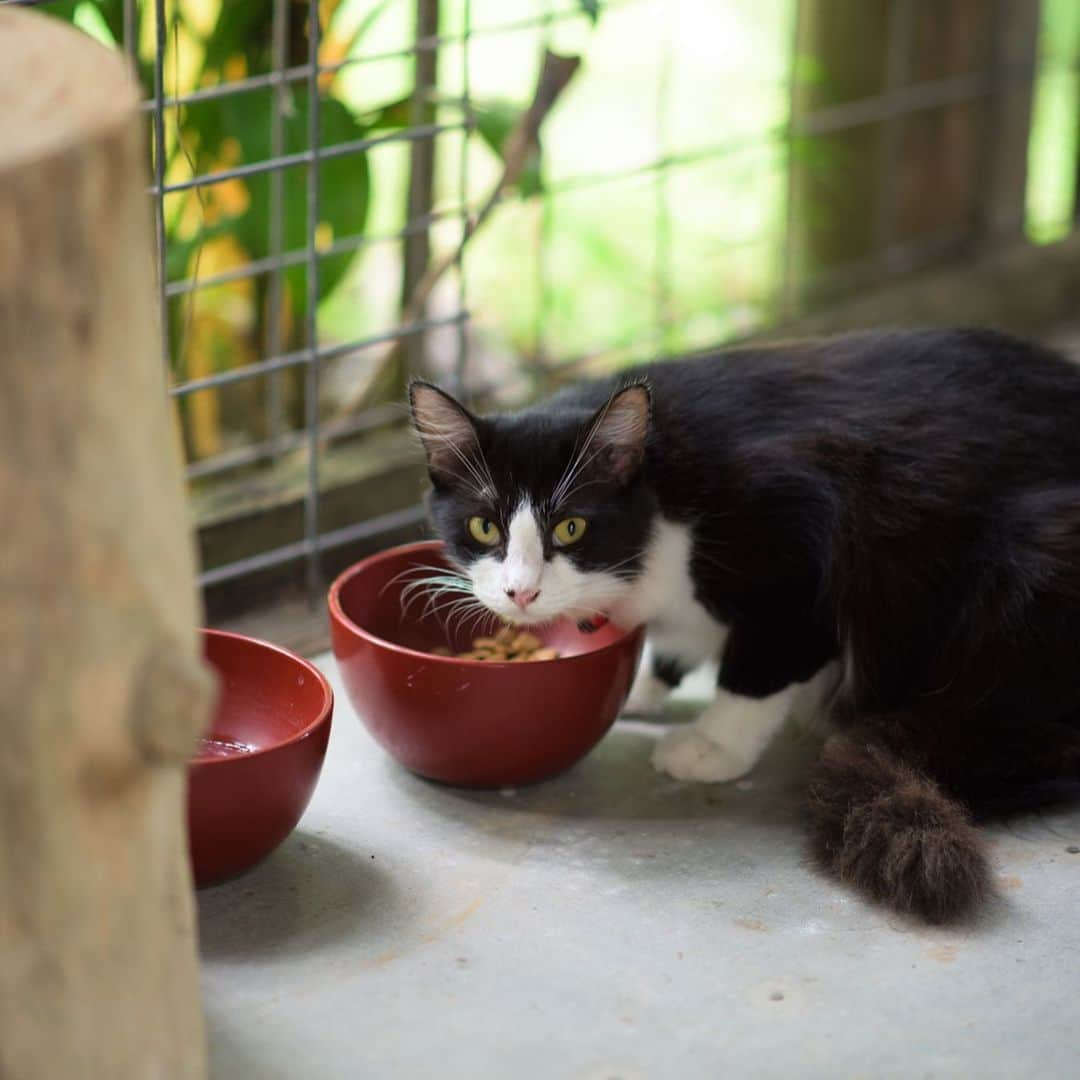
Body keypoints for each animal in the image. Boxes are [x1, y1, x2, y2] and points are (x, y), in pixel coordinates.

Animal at [408, 328, 1080, 920]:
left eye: (571, 527)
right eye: (484, 528)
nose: (521, 592)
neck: (661, 494)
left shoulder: (801, 552)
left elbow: (764, 662)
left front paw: (714, 743)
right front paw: (644, 686)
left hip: (1032, 562)